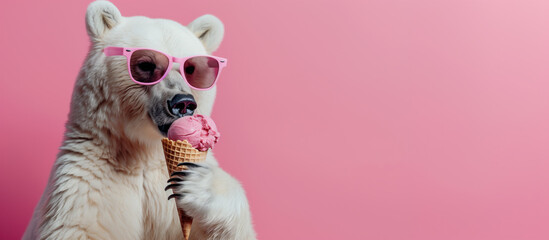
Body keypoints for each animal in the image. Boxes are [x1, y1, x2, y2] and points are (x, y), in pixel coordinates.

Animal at [22, 0, 258, 239]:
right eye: (146, 65)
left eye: (191, 69)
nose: (183, 103)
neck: (144, 151)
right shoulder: (85, 185)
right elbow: (79, 229)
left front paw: (199, 185)